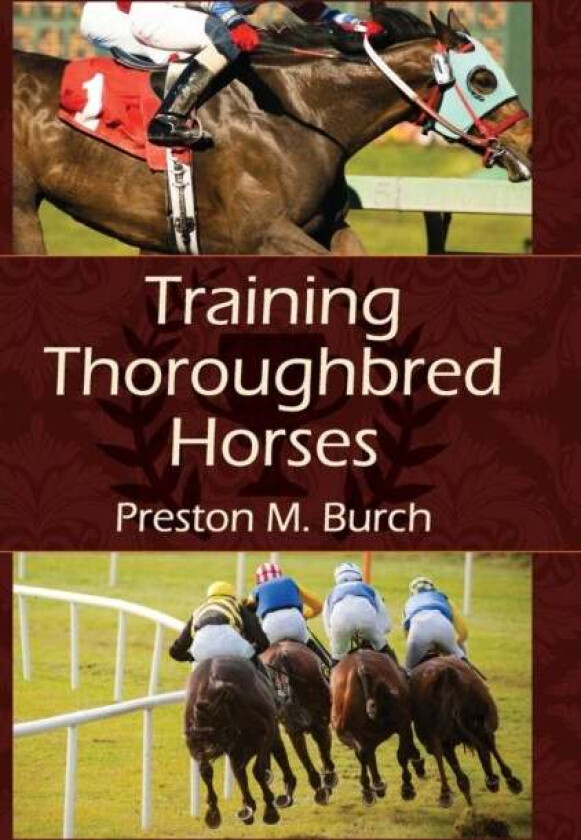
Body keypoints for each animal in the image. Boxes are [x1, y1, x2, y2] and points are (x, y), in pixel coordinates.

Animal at [13, 5, 532, 255]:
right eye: (482, 79)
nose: (527, 142)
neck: (297, 113)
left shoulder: (328, 226)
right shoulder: (263, 232)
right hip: (20, 207)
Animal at [262, 640, 338, 805]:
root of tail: (282, 657)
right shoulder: (320, 723)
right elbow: (324, 753)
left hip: (293, 727)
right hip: (317, 722)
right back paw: (325, 785)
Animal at [330, 649, 426, 805]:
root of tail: (361, 668)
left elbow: (366, 755)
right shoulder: (402, 723)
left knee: (364, 754)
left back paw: (371, 790)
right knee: (396, 754)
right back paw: (403, 787)